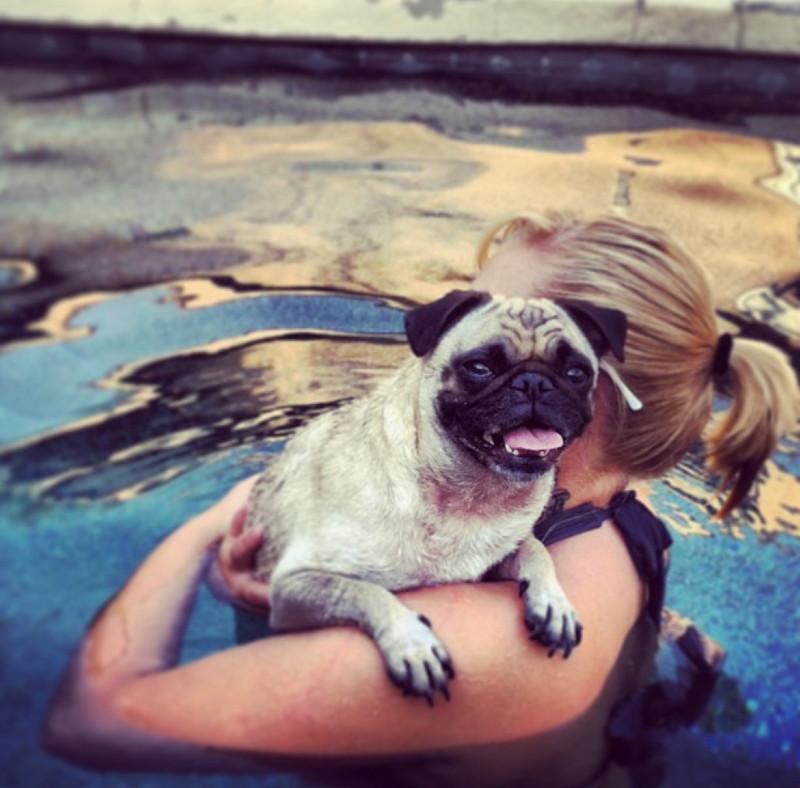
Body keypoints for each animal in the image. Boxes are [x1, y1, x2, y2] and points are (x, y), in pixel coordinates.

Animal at [241, 288, 628, 700]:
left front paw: (554, 602)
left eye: (576, 373)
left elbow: (535, 550)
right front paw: (411, 641)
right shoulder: (294, 587)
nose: (534, 383)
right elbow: (365, 591)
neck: (472, 496)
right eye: (479, 368)